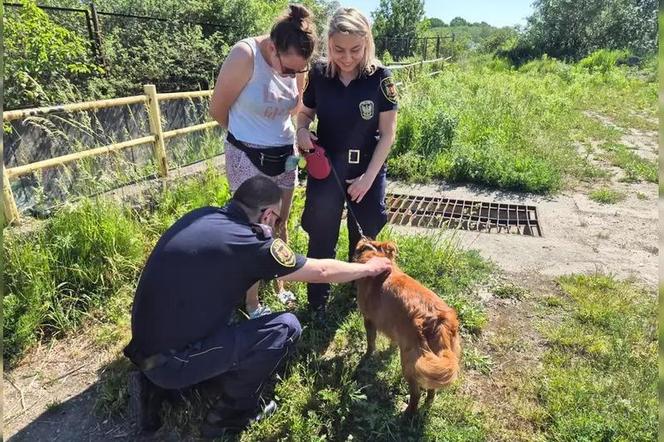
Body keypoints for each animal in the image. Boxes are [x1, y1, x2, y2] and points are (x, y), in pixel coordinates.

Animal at [352, 238, 462, 414]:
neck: (375, 254)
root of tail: (440, 320)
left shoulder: (369, 320)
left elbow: (371, 343)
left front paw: (368, 357)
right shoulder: (394, 326)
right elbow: (392, 342)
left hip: (410, 362)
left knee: (416, 394)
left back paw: (408, 413)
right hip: (434, 360)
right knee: (431, 388)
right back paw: (428, 404)